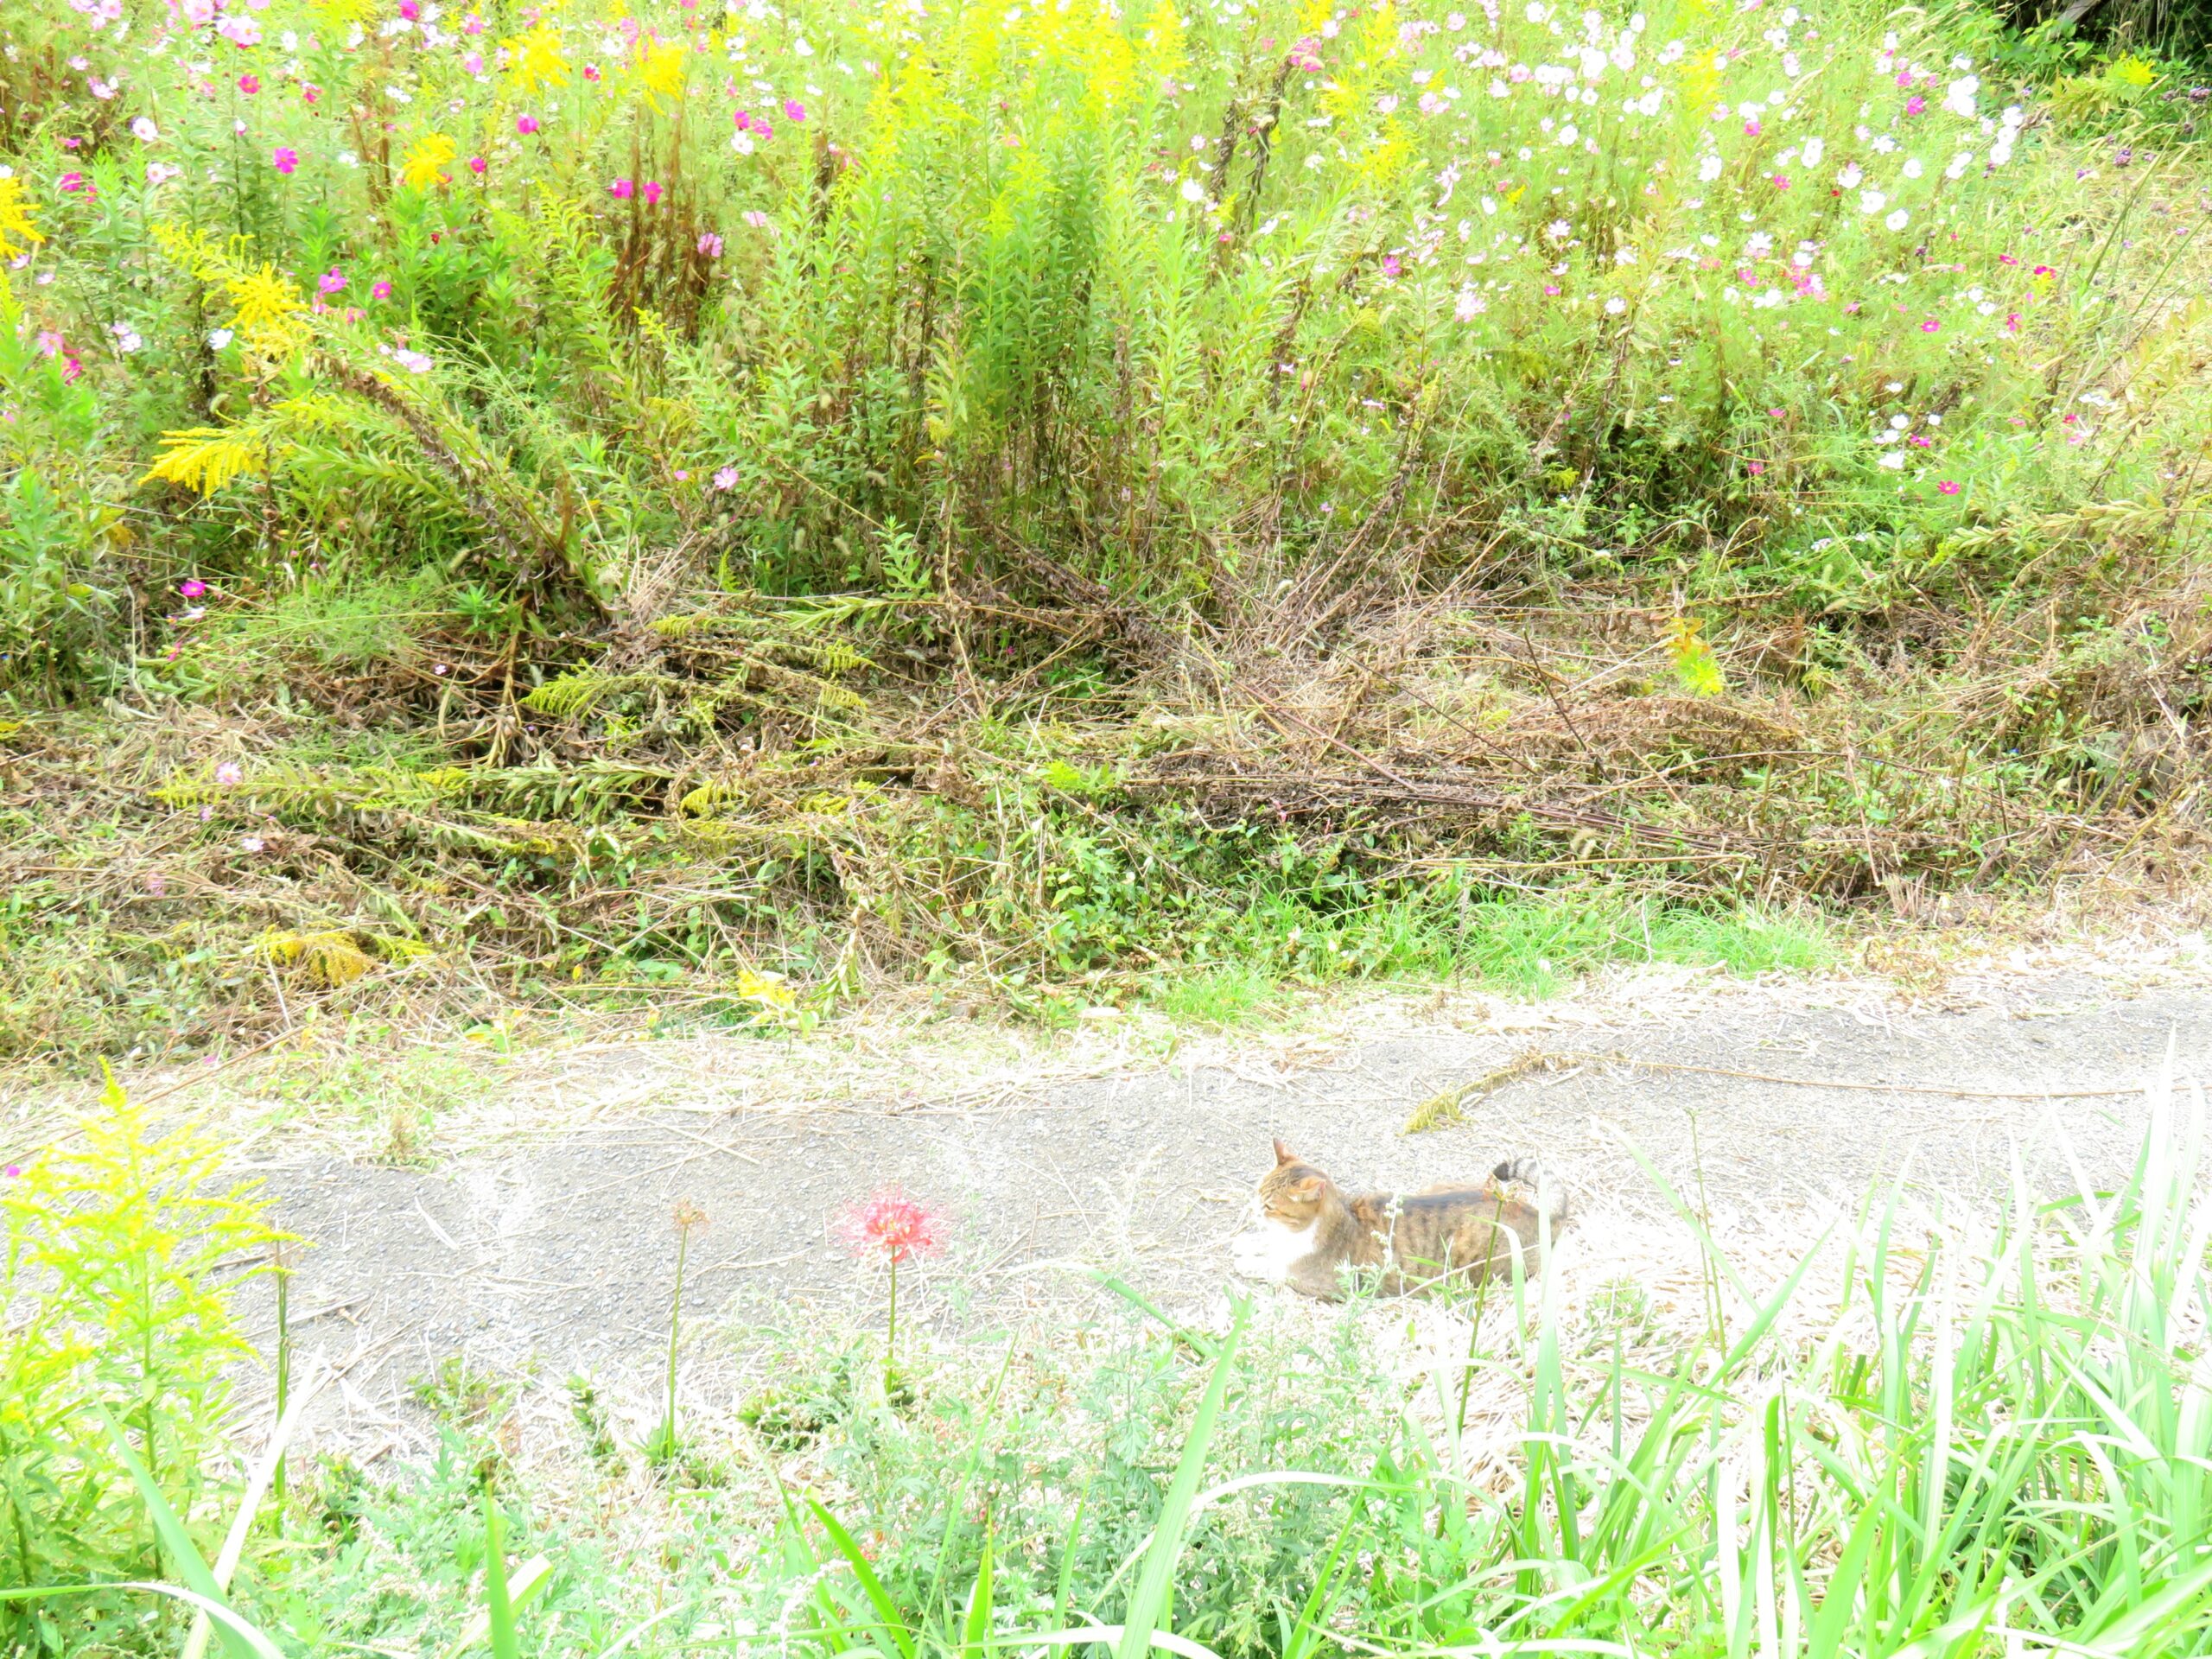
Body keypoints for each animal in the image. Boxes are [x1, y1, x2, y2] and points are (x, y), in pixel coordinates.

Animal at [1230, 1141, 1574, 1309]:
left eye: (1270, 1205)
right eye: (1257, 1192)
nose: (1252, 1210)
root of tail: (1541, 1215)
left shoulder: (1324, 1285)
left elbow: (1275, 1269)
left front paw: (1246, 1261)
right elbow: (1265, 1246)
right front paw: (1244, 1244)